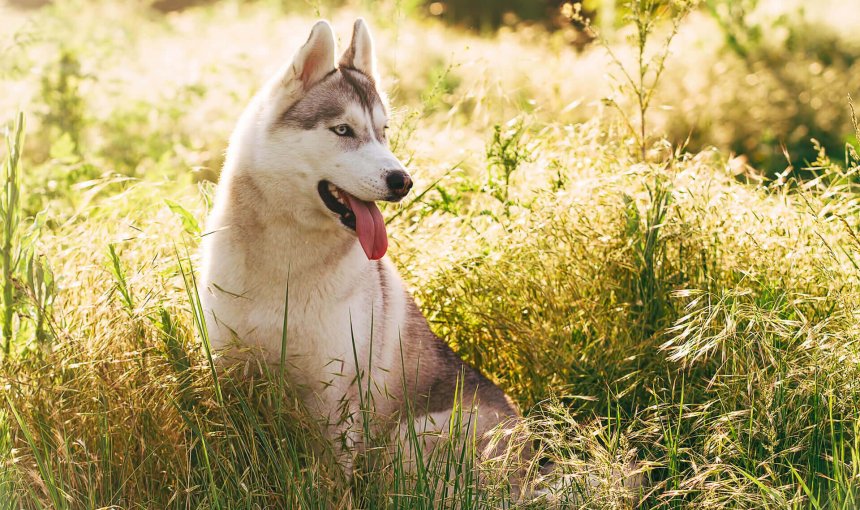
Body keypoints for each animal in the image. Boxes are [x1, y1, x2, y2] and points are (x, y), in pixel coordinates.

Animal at [200, 16, 524, 474]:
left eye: (383, 133)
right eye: (343, 130)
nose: (403, 181)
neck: (285, 264)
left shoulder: (335, 398)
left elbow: (330, 477)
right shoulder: (230, 372)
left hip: (412, 434)